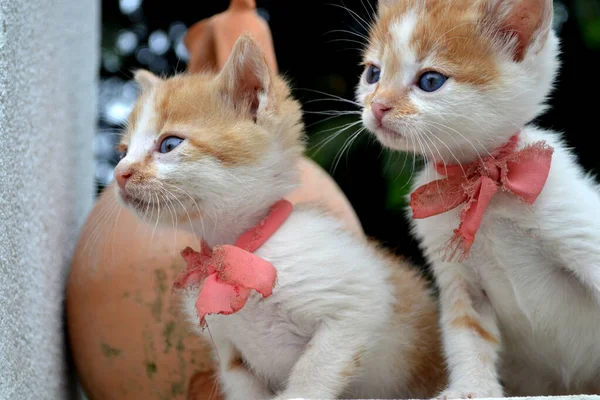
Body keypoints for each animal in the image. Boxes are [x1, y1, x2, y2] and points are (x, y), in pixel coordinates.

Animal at [112, 35, 446, 400]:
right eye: (123, 151)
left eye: (169, 144)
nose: (119, 174)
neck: (239, 252)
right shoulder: (229, 353)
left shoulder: (358, 301)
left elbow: (311, 377)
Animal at [358, 0, 600, 396]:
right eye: (373, 74)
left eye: (430, 81)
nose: (378, 106)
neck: (485, 182)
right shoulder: (458, 277)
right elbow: (467, 333)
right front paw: (471, 387)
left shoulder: (579, 228)